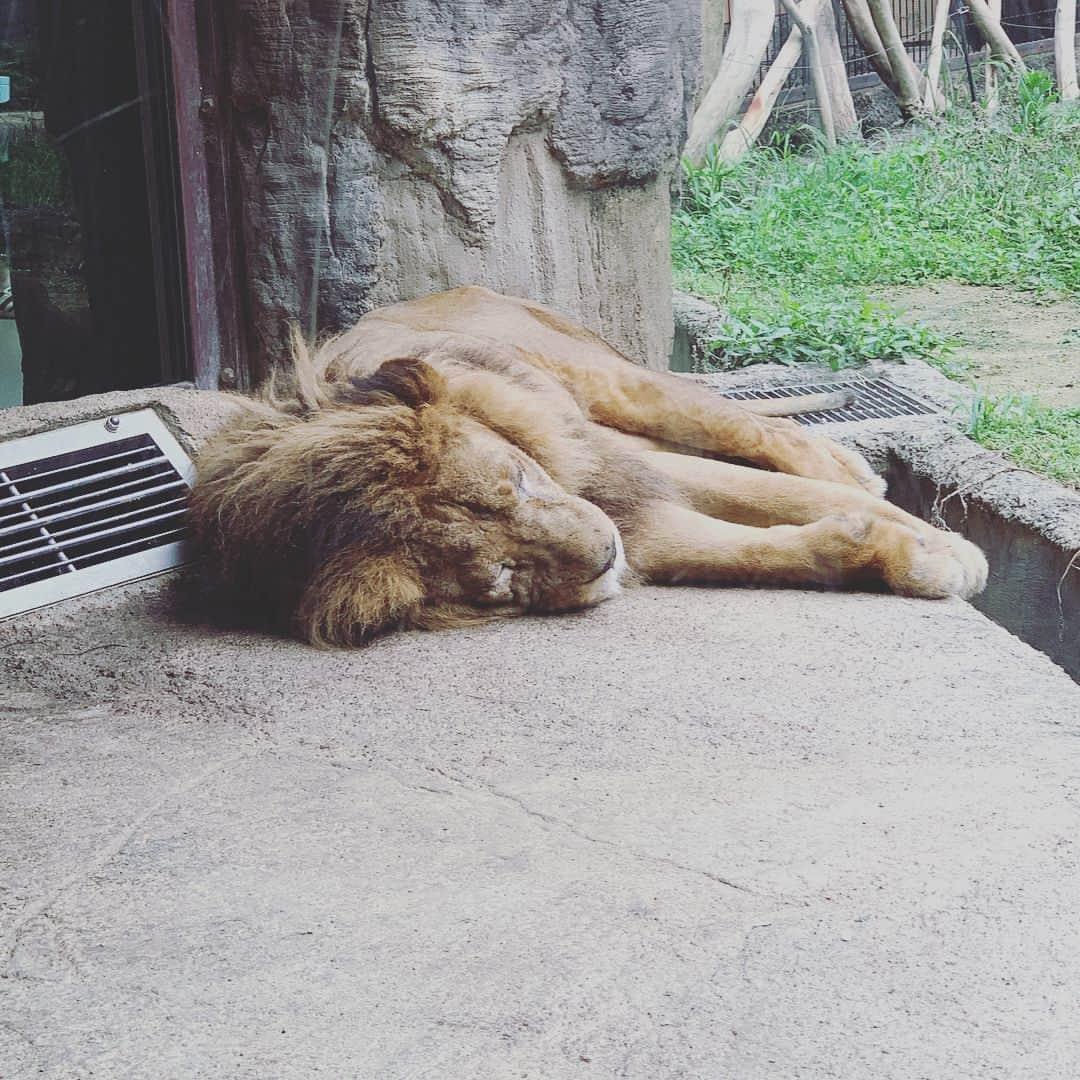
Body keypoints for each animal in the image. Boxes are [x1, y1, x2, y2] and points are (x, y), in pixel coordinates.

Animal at [192, 282, 989, 643]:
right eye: (499, 578)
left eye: (517, 481)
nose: (605, 552)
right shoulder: (646, 525)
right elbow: (791, 545)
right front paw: (909, 556)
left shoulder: (611, 472)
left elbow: (803, 499)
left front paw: (951, 551)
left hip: (614, 386)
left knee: (755, 428)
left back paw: (846, 461)